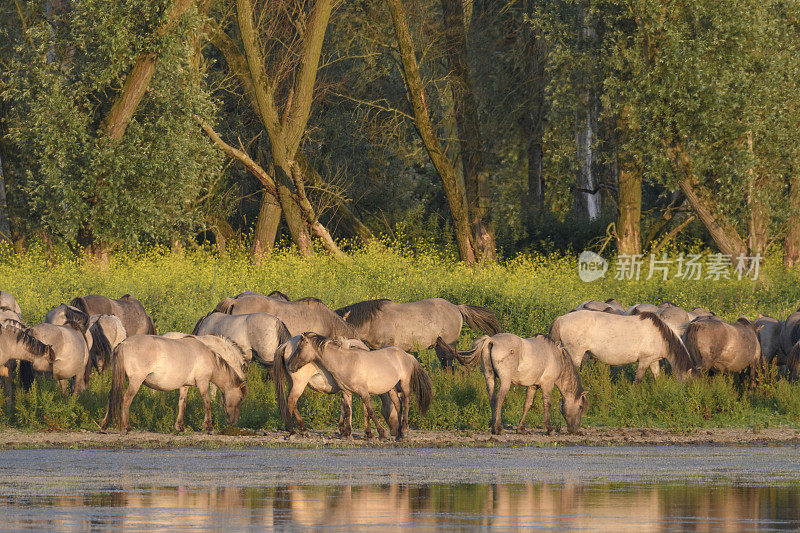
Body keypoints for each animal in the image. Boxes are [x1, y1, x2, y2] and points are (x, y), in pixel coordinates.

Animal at [103, 332, 247, 432]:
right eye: (240, 399)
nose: (233, 422)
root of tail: (123, 344)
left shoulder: (185, 386)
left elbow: (182, 404)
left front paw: (180, 427)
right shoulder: (203, 382)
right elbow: (207, 403)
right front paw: (209, 426)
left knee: (111, 396)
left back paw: (104, 426)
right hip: (135, 381)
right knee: (126, 399)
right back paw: (126, 427)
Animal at [282, 332, 432, 440]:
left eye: (300, 348)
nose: (290, 365)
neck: (345, 362)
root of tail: (406, 355)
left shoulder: (364, 392)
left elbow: (370, 411)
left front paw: (381, 433)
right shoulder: (346, 392)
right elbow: (348, 410)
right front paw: (347, 434)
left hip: (404, 383)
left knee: (406, 402)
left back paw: (404, 431)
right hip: (391, 388)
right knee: (398, 404)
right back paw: (400, 433)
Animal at [450, 334, 588, 434]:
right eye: (581, 407)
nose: (575, 430)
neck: (556, 356)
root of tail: (491, 340)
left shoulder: (533, 386)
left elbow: (527, 404)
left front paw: (520, 428)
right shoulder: (547, 384)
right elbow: (547, 405)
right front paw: (549, 429)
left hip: (489, 377)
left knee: (492, 399)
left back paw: (493, 425)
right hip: (505, 381)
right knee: (499, 399)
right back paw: (498, 428)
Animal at [552, 308, 692, 382]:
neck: (659, 335)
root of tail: (561, 318)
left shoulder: (653, 361)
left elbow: (657, 376)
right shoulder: (644, 360)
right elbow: (638, 380)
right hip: (575, 353)